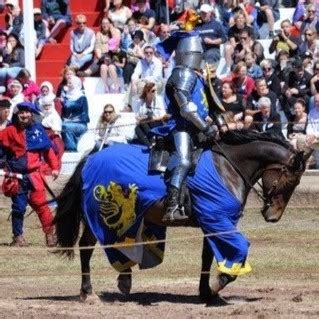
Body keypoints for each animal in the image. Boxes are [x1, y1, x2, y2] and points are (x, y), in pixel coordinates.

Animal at [54, 131, 312, 306]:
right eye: (291, 180)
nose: (273, 216)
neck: (227, 167)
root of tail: (90, 158)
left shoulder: (213, 223)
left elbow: (207, 256)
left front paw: (206, 292)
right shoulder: (219, 221)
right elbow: (238, 249)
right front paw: (218, 284)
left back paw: (122, 281)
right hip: (98, 216)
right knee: (87, 248)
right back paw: (88, 292)